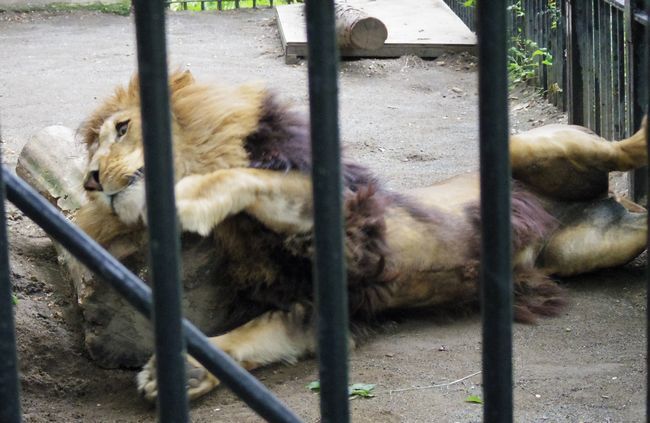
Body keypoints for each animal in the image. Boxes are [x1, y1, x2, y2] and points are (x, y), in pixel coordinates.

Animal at [76, 71, 644, 402]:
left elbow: (248, 178)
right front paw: (182, 372)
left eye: (122, 129)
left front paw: (188, 195)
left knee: (623, 150)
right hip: (586, 248)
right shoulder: (319, 304)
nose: (91, 180)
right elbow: (248, 336)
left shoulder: (344, 220)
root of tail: (605, 202)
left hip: (526, 147)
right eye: (93, 150)